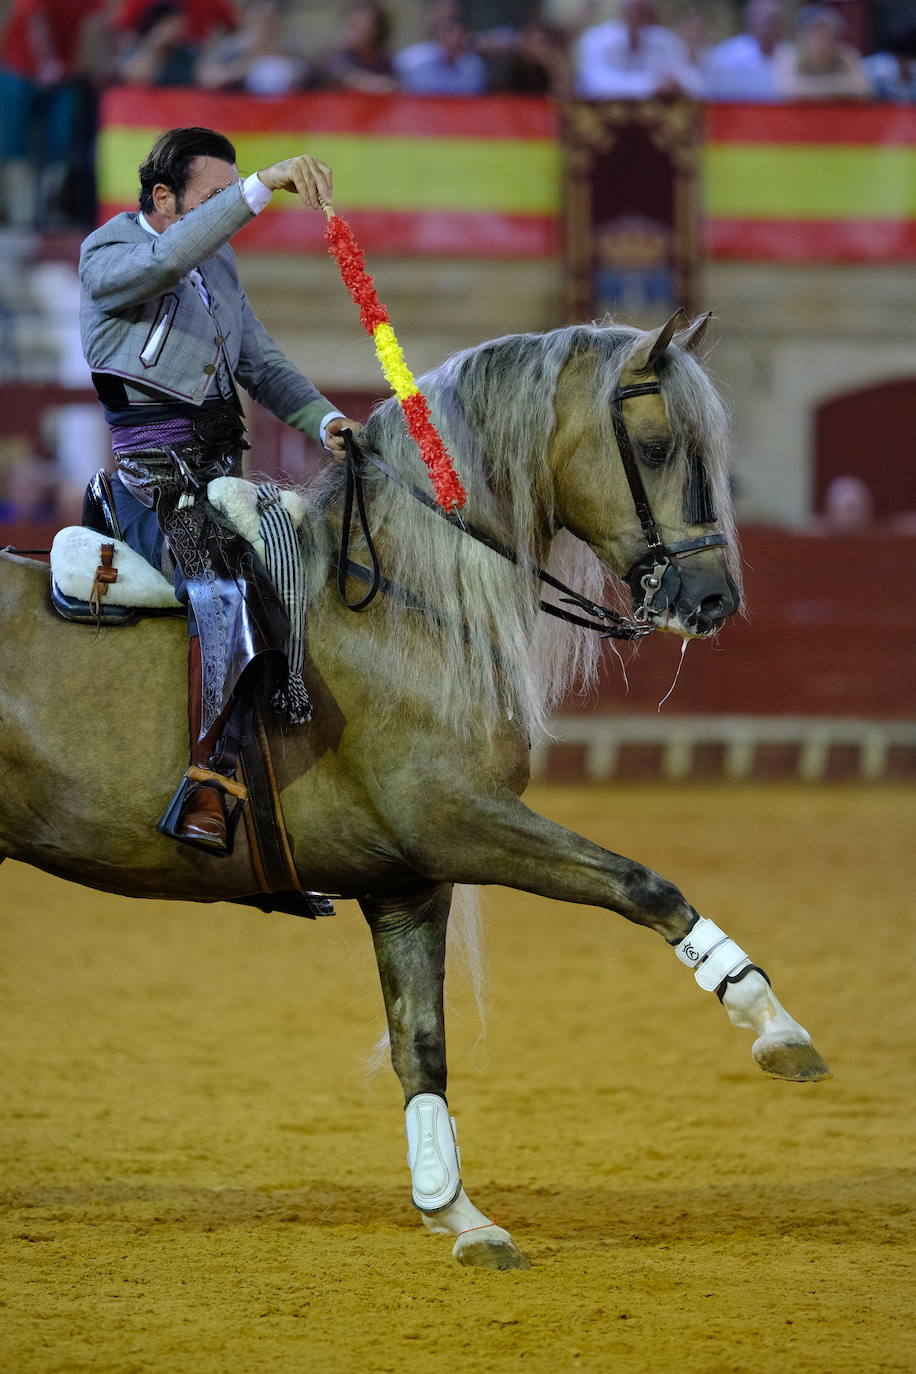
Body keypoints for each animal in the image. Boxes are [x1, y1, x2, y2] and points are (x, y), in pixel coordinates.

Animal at [0, 311, 829, 1264]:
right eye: (657, 446)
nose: (712, 598)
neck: (402, 603)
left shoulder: (409, 881)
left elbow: (420, 1043)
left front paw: (456, 1210)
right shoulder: (460, 823)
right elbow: (643, 885)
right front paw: (773, 1022)